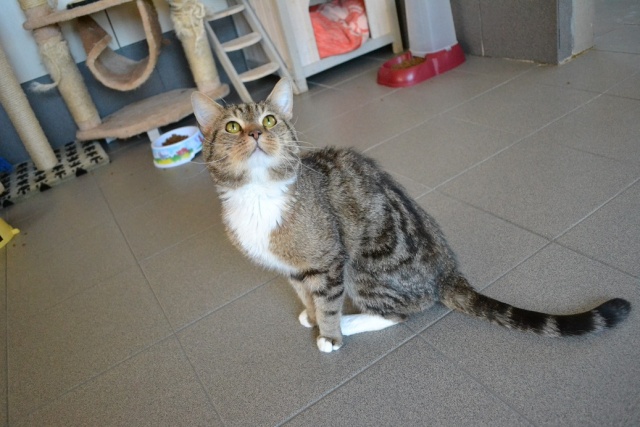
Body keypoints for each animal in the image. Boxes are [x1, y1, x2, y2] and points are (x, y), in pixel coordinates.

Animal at [191, 79, 631, 353]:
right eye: (232, 126)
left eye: (269, 120)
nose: (254, 133)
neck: (258, 193)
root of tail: (448, 271)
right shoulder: (295, 267)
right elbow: (304, 292)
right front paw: (310, 313)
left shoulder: (329, 260)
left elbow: (328, 302)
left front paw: (329, 334)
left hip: (364, 266)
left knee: (402, 311)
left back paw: (354, 322)